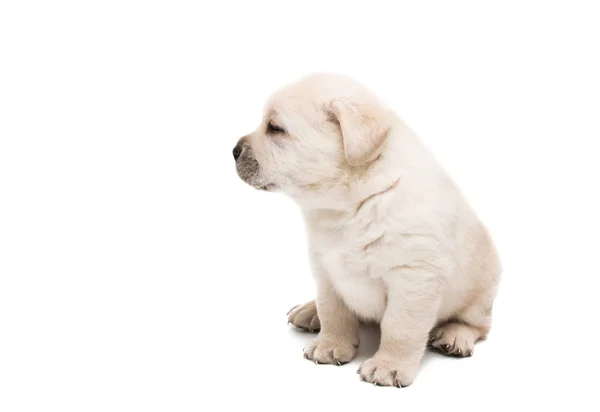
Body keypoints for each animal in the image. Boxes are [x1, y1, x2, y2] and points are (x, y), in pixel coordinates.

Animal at [234, 73, 502, 386]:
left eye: (275, 128)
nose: (233, 150)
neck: (351, 204)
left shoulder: (413, 277)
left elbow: (400, 327)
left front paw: (389, 366)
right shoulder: (325, 269)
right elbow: (332, 311)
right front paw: (330, 345)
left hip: (481, 291)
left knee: (476, 324)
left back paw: (455, 336)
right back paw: (308, 312)